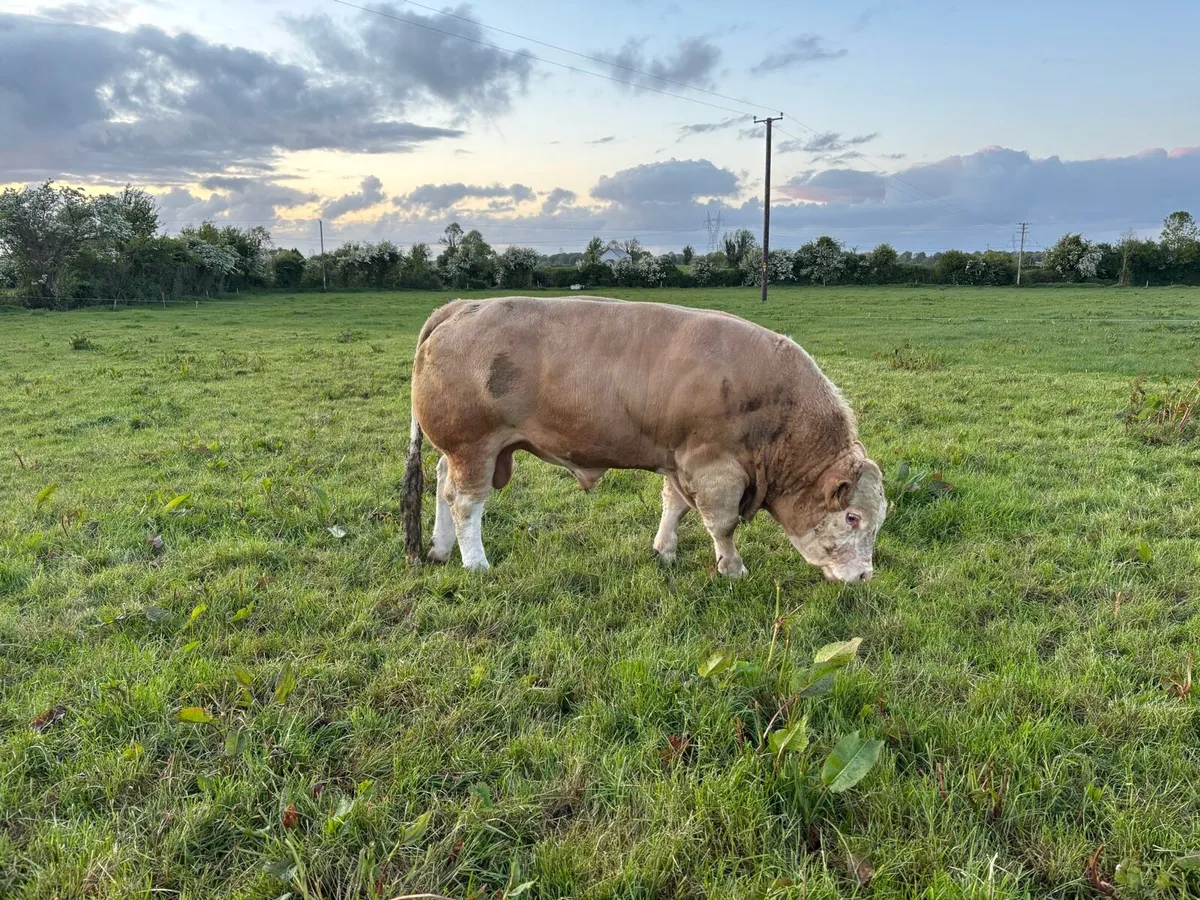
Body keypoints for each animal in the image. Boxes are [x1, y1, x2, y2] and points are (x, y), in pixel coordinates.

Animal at [401, 296, 886, 582]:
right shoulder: (714, 468)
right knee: (465, 502)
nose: (866, 576)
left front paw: (665, 551)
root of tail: (463, 306)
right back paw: (475, 563)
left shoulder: (678, 457)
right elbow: (722, 524)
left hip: (459, 450)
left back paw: (441, 549)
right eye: (853, 518)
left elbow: (674, 506)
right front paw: (731, 568)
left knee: (442, 485)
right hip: (474, 444)